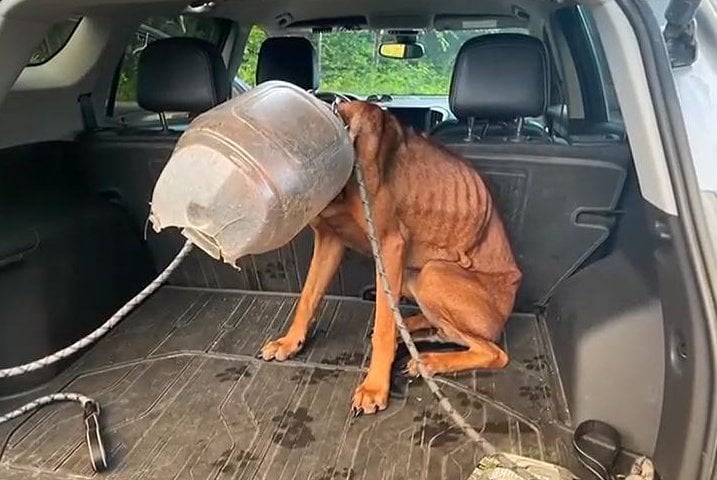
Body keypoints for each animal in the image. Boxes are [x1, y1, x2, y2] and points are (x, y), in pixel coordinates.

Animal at [260, 102, 516, 416]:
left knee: (492, 351)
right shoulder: (330, 239)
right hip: (413, 276)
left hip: (433, 274)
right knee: (444, 330)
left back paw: (429, 360)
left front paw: (374, 387)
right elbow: (307, 297)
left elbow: (383, 325)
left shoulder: (389, 246)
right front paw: (289, 342)